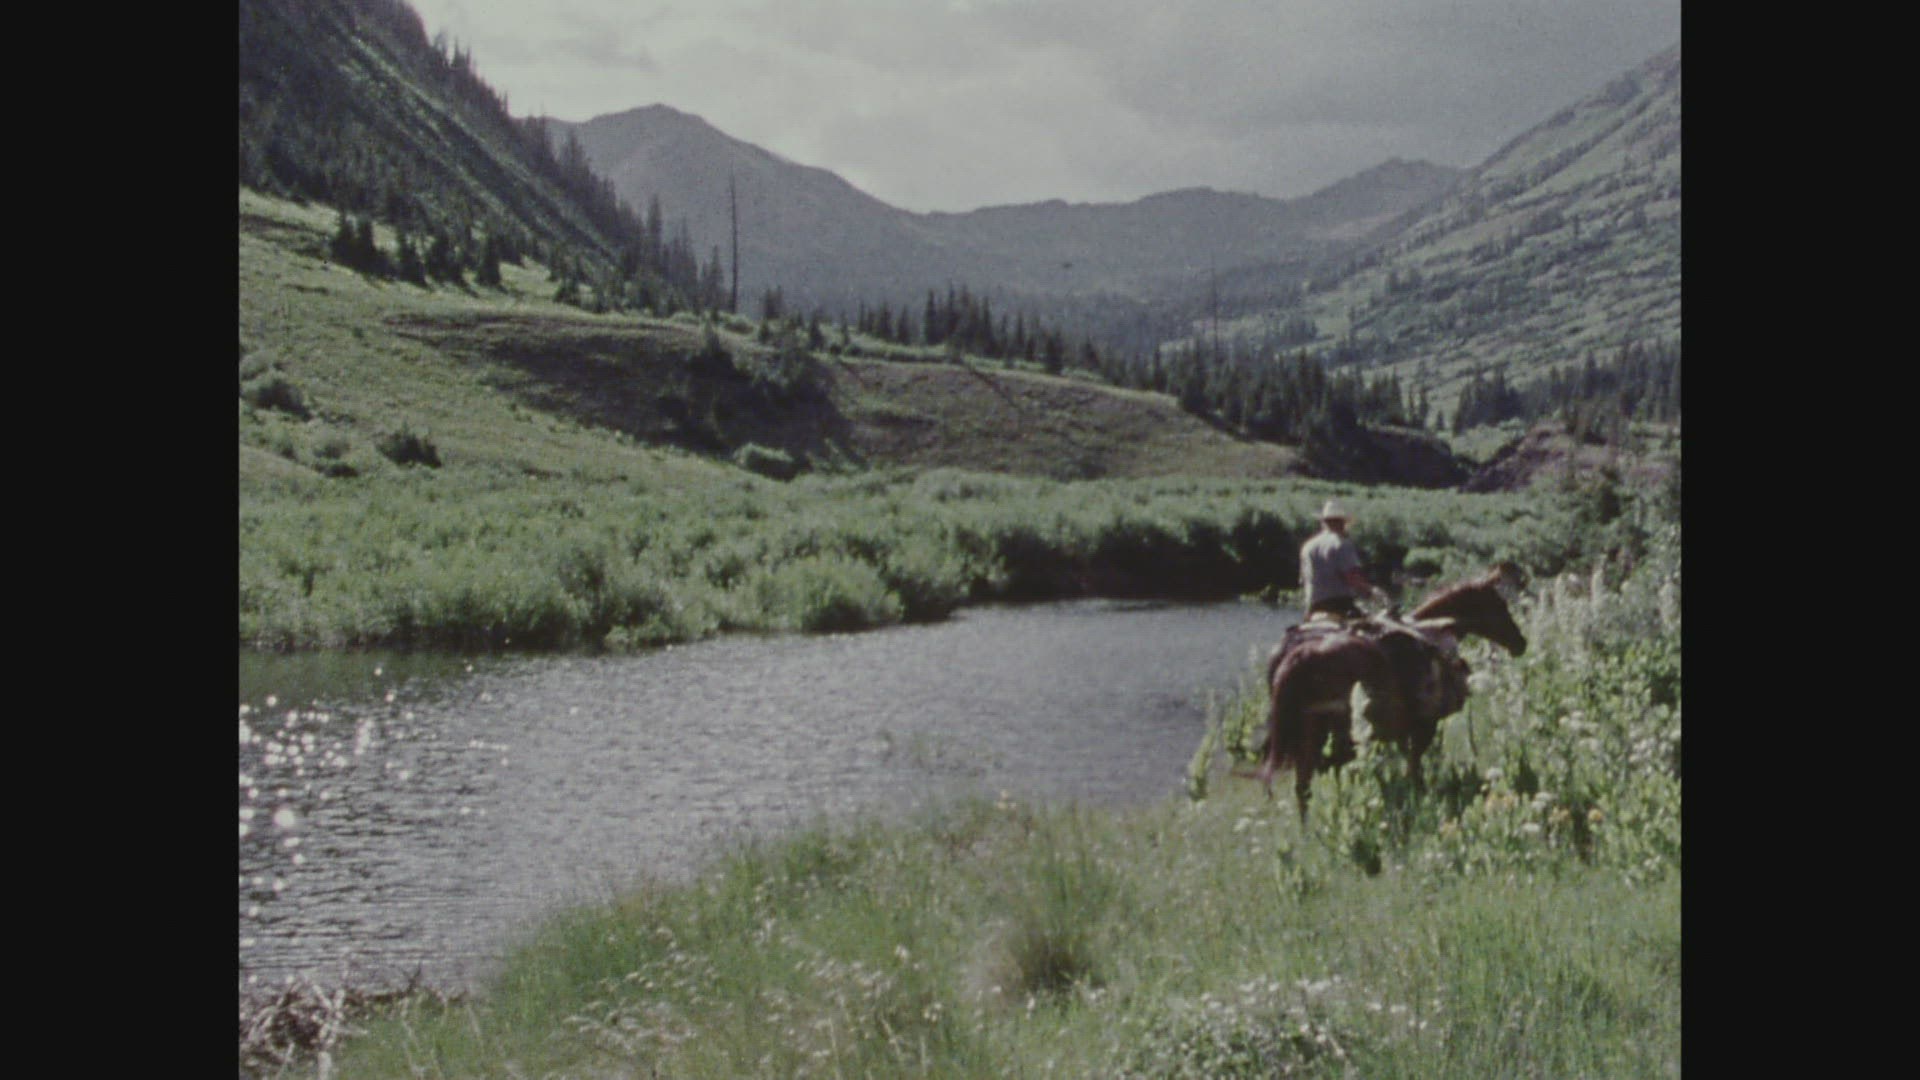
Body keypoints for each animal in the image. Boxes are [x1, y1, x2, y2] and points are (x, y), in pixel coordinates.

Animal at [1255, 562, 1528, 820]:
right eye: (1500, 605)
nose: (1521, 643)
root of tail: (1300, 654)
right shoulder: (1423, 727)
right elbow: (1413, 769)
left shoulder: (1401, 733)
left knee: (1304, 788)